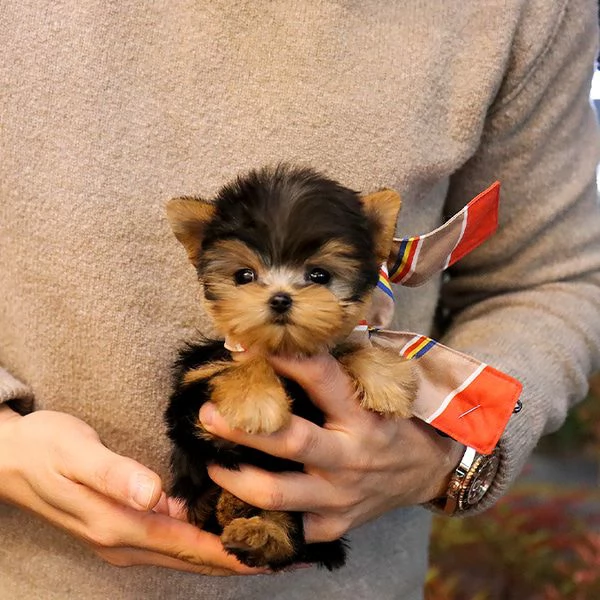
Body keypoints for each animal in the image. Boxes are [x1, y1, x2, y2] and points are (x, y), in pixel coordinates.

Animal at [164, 164, 418, 572]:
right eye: (244, 276)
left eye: (319, 276)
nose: (280, 299)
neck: (285, 348)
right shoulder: (193, 406)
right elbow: (240, 366)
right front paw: (255, 401)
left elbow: (343, 349)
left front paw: (385, 378)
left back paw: (259, 532)